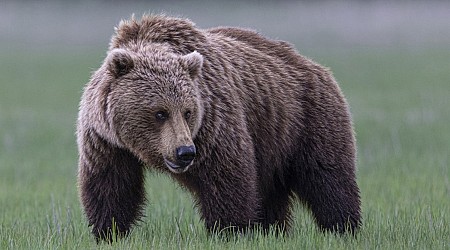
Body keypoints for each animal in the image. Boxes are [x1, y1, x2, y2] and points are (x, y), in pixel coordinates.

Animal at [75, 14, 360, 241]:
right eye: (160, 112)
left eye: (188, 111)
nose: (185, 152)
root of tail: (314, 65)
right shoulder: (106, 141)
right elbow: (112, 186)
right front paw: (108, 231)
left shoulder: (213, 123)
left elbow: (226, 177)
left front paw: (229, 230)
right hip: (272, 141)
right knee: (271, 191)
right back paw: (272, 229)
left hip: (306, 118)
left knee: (327, 177)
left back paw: (343, 227)